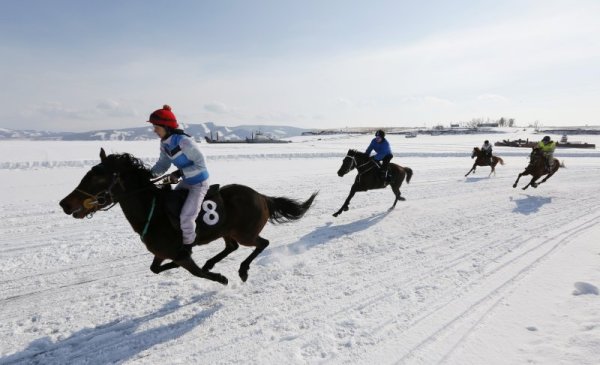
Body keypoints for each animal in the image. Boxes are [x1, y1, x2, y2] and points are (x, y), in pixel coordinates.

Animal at [58, 148, 316, 284]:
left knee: (262, 243)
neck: (152, 211)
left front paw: (220, 277)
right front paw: (204, 268)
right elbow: (155, 269)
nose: (64, 204)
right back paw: (212, 261)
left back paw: (242, 270)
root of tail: (261, 196)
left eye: (97, 177)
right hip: (227, 230)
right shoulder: (162, 252)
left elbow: (197, 272)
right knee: (231, 246)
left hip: (246, 233)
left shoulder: (180, 254)